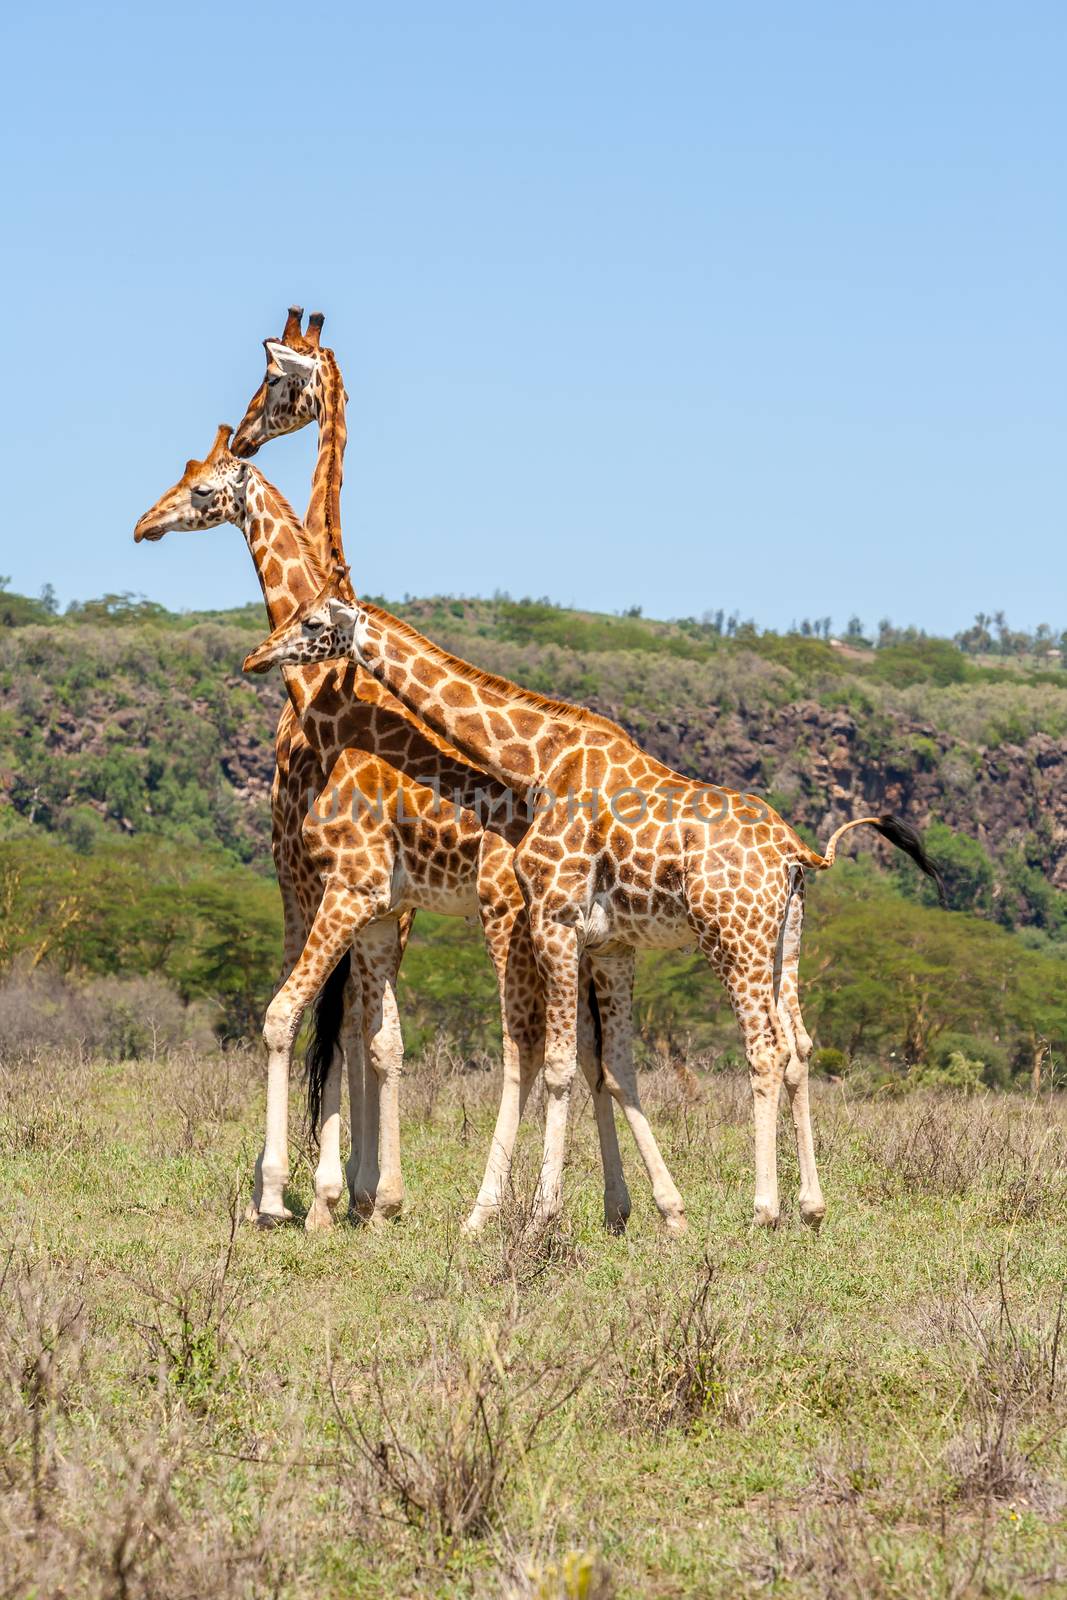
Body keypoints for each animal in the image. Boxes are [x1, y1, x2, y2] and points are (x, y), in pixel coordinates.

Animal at [132, 425, 633, 1235]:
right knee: (593, 1049)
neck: (321, 701)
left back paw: (497, 1210)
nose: (144, 524)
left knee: (528, 1046)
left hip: (508, 913)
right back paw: (625, 1207)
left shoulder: (329, 884)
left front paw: (292, 1194)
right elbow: (376, 1036)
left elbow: (298, 1018)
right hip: (581, 931)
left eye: (202, 488)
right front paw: (364, 1195)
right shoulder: (376, 904)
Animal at [241, 595, 940, 1228]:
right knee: (798, 1047)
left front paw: (540, 1215)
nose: (256, 655)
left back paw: (765, 1210)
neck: (538, 759)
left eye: (312, 621)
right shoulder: (607, 942)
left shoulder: (553, 914)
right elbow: (607, 1065)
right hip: (782, 945)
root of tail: (797, 852)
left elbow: (554, 1065)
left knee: (763, 1051)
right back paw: (811, 1207)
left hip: (731, 938)